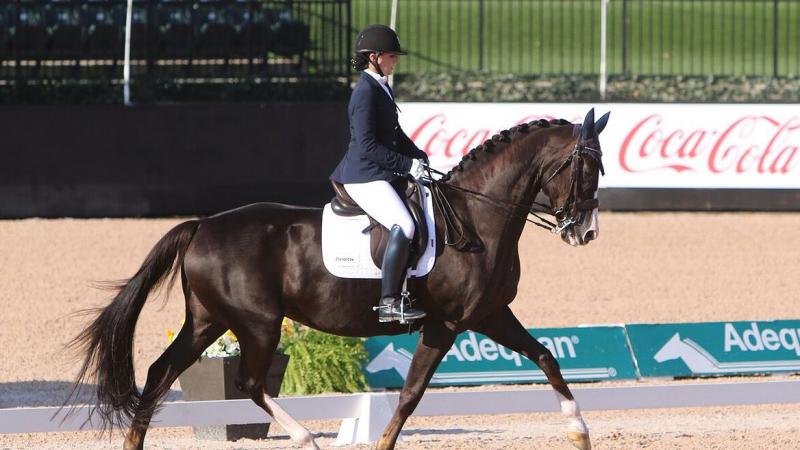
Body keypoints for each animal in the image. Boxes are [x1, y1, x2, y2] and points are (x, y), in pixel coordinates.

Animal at [67, 109, 608, 450]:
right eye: (586, 168)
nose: (585, 232)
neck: (478, 217)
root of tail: (202, 224)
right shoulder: (447, 324)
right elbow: (411, 395)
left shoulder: (491, 314)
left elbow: (547, 357)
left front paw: (579, 432)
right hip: (257, 323)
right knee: (248, 382)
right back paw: (305, 439)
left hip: (208, 321)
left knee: (161, 372)